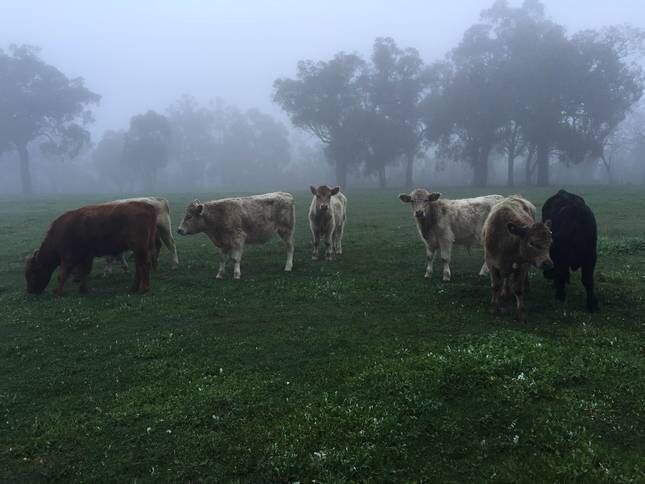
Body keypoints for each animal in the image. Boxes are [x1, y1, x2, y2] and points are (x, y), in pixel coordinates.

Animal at [27, 200, 158, 294]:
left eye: (31, 272)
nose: (30, 291)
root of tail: (146, 206)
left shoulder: (67, 258)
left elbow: (62, 275)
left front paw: (57, 292)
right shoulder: (86, 256)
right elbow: (84, 272)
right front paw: (83, 289)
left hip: (140, 248)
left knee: (144, 264)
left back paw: (143, 289)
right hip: (140, 248)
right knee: (139, 266)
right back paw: (133, 288)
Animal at [484, 195, 552, 324]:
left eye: (551, 242)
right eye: (532, 243)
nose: (548, 264)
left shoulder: (522, 265)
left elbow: (518, 289)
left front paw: (521, 313)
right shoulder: (491, 263)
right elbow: (496, 285)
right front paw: (493, 307)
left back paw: (526, 287)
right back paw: (505, 291)